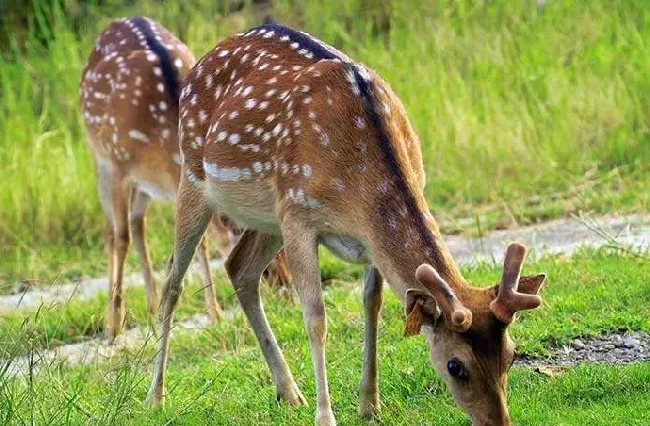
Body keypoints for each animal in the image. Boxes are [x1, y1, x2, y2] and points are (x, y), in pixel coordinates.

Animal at [78, 16, 288, 344]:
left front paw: (215, 312)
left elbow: (198, 242)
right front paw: (113, 327)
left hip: (141, 185)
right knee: (113, 231)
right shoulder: (117, 163)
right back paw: (117, 317)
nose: (283, 284)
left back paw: (152, 305)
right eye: (238, 228)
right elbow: (121, 238)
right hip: (99, 158)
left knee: (138, 223)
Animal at [144, 24, 544, 426]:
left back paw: (289, 392)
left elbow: (373, 303)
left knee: (239, 267)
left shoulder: (365, 235)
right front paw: (326, 416)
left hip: (267, 215)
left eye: (511, 354)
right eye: (455, 366)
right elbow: (316, 318)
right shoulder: (299, 216)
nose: (499, 422)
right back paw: (156, 397)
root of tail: (201, 61)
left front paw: (370, 403)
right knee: (173, 282)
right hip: (195, 178)